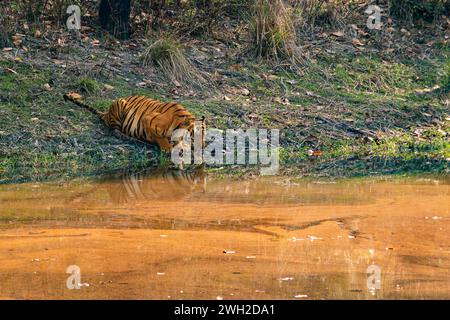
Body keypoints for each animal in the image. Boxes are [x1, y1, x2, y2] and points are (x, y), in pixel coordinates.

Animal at [62, 92, 206, 152]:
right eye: (197, 134)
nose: (204, 146)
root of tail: (106, 113)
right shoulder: (148, 119)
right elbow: (160, 138)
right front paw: (167, 148)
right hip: (119, 106)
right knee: (115, 131)